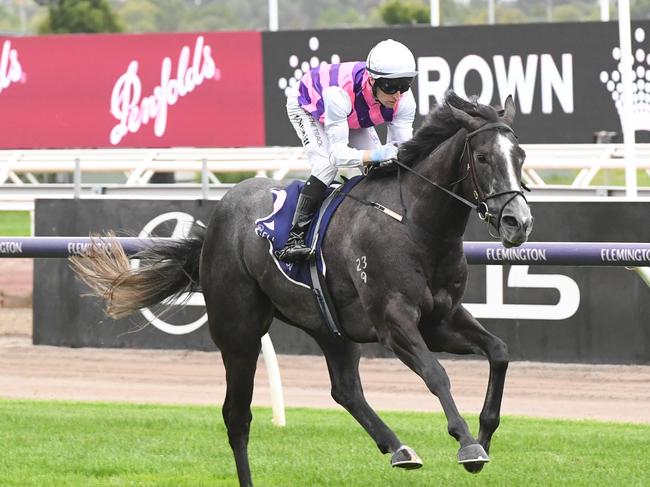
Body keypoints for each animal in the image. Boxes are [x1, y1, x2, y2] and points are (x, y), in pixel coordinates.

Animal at [71, 92, 532, 487]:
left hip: (329, 326)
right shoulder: (394, 320)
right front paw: (468, 444)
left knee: (345, 390)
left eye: (521, 156)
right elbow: (436, 374)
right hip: (239, 334)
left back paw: (399, 448)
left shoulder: (441, 319)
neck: (415, 225)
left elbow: (499, 352)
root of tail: (219, 216)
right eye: (484, 157)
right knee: (236, 416)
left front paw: (484, 435)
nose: (518, 222)